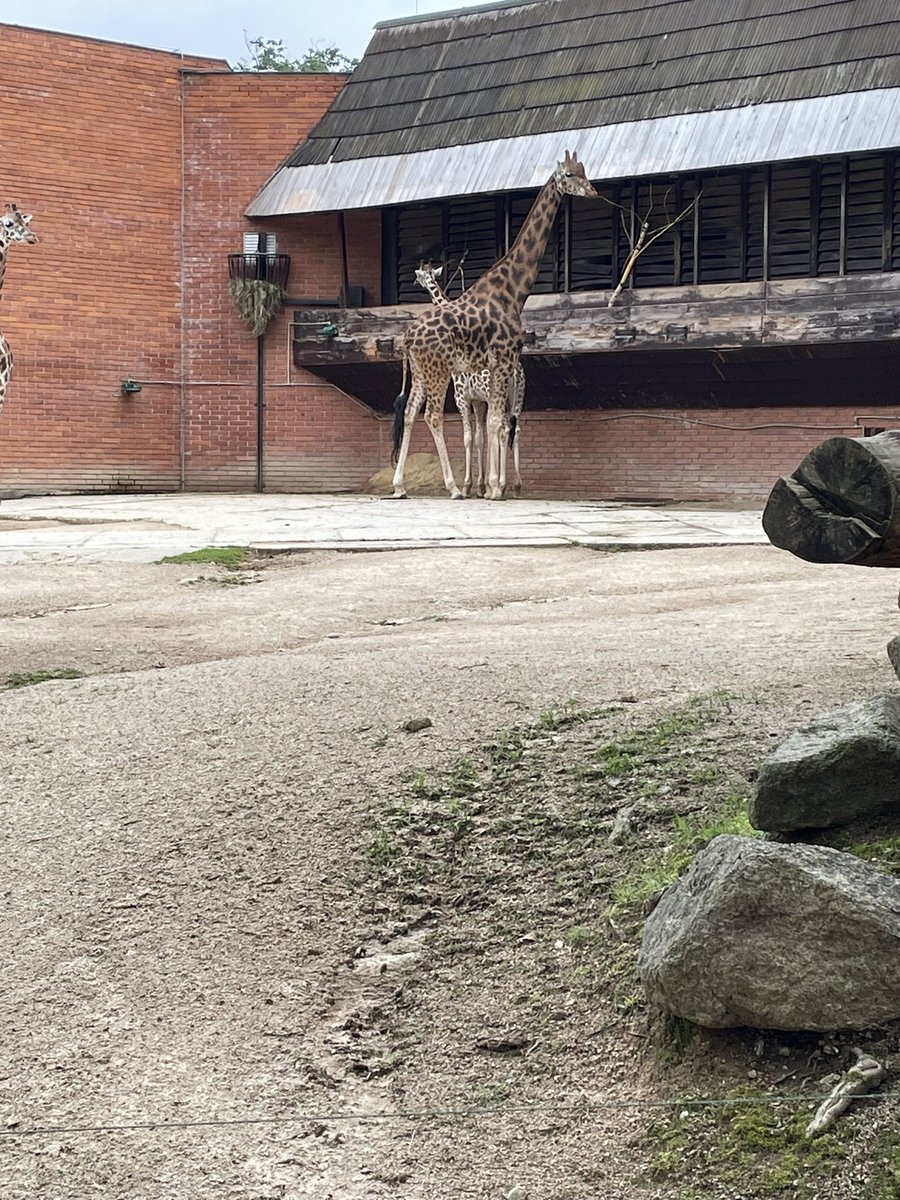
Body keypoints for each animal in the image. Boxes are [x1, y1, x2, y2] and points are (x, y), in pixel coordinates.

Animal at [415, 265, 528, 499]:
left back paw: (500, 485)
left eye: (419, 275)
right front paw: (481, 486)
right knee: (515, 430)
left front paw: (469, 486)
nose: (416, 282)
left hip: (500, 397)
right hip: (517, 400)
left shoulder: (462, 398)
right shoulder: (478, 401)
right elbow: (480, 437)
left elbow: (468, 437)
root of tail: (515, 371)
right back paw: (515, 486)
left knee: (504, 429)